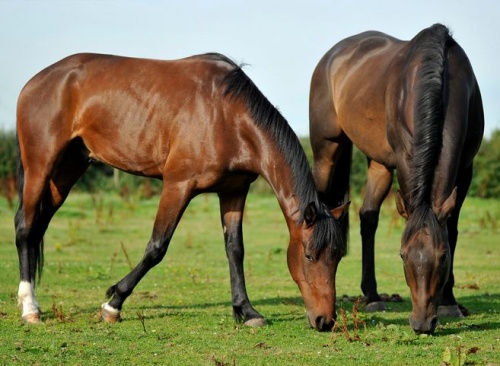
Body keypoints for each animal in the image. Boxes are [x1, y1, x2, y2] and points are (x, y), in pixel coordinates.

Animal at [16, 52, 352, 332]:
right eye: (309, 255)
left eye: (338, 257)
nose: (325, 321)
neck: (227, 115)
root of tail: (36, 81)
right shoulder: (177, 185)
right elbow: (156, 247)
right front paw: (113, 303)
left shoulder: (234, 192)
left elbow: (235, 250)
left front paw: (246, 311)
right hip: (40, 166)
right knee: (25, 227)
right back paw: (30, 308)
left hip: (68, 170)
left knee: (37, 227)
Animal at [308, 23, 484, 334]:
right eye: (402, 254)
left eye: (443, 256)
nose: (421, 323)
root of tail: (330, 57)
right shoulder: (405, 159)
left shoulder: (466, 168)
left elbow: (451, 229)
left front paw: (449, 302)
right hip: (326, 150)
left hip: (378, 162)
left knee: (368, 216)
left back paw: (373, 296)